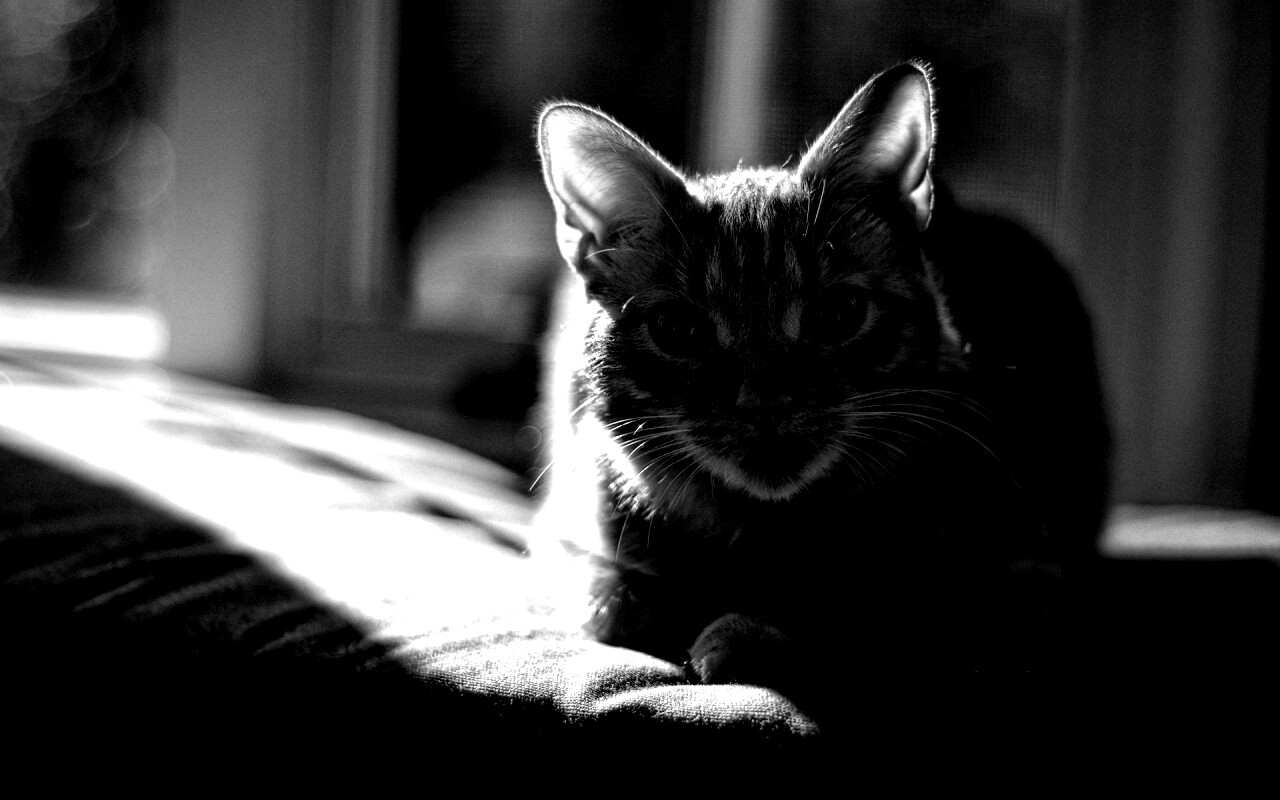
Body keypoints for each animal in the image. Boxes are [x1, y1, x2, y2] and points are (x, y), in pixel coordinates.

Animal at [533, 61, 1109, 718]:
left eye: (838, 314)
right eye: (678, 329)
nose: (765, 400)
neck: (767, 529)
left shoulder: (1031, 574)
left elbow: (892, 604)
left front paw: (756, 631)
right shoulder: (563, 534)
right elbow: (618, 598)